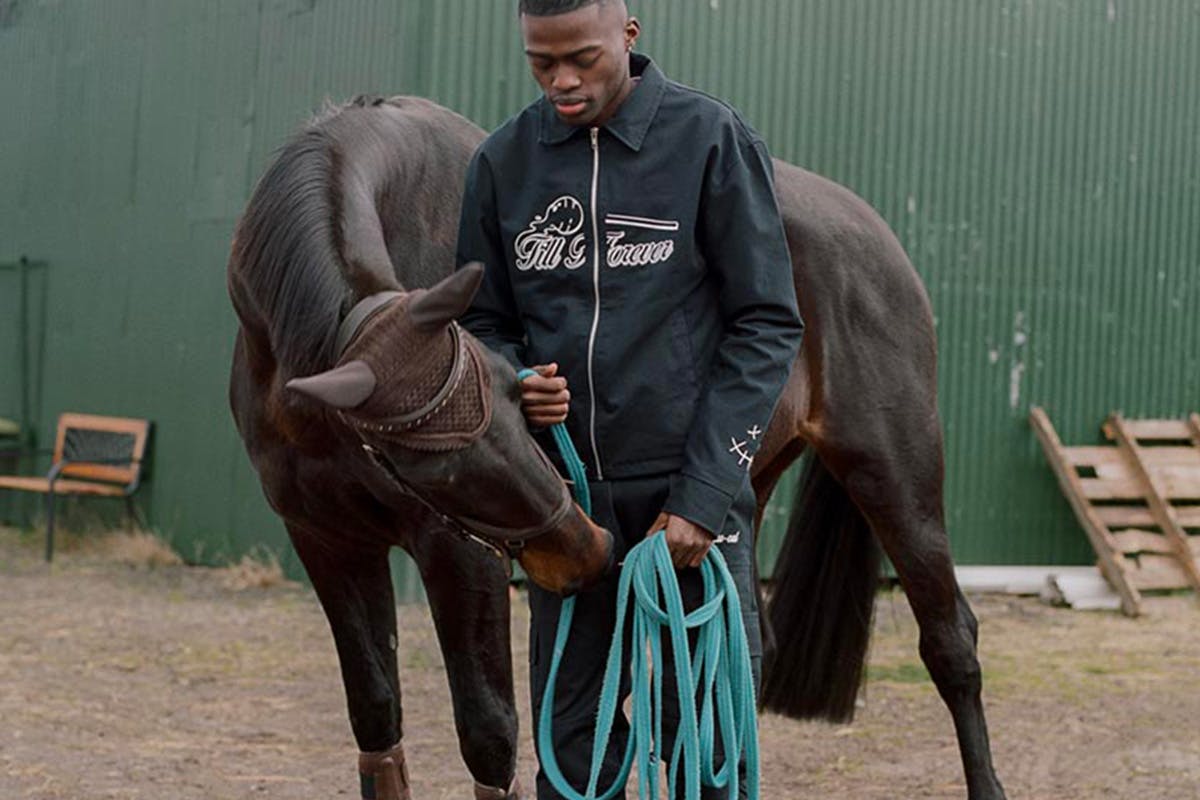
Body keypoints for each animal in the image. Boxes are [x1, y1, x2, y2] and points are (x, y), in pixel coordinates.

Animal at [227, 95, 1005, 799]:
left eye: (514, 392)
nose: (590, 550)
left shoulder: (459, 553)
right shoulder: (327, 542)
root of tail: (875, 235)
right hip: (738, 489)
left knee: (951, 643)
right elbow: (376, 716)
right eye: (430, 468)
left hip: (894, 473)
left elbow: (490, 732)